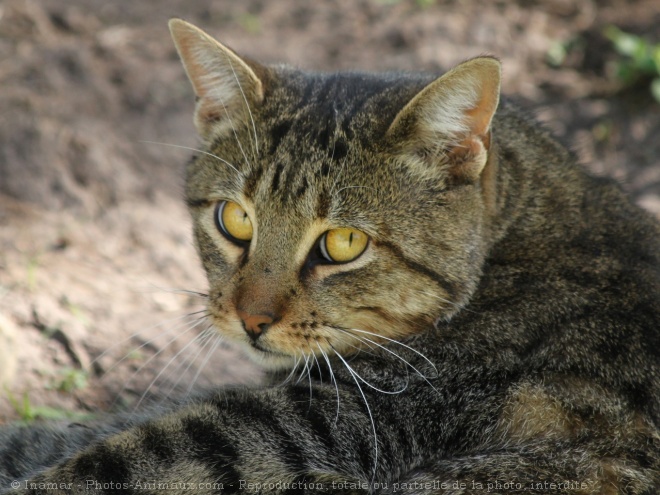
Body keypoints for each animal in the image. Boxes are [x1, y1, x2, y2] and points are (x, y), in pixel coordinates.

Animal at [1, 17, 660, 494]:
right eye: (234, 218)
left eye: (344, 244)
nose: (250, 319)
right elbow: (66, 434)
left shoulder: (327, 418)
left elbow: (121, 458)